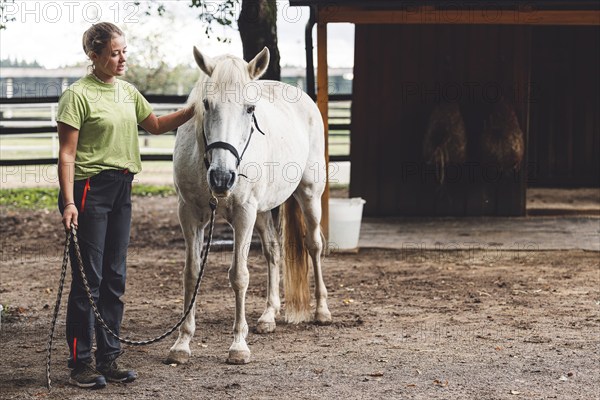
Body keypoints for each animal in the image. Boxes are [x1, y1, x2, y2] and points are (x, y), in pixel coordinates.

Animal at [168, 47, 332, 366]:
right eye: (206, 104)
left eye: (249, 109)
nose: (222, 177)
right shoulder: (190, 214)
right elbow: (191, 274)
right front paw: (182, 343)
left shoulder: (244, 213)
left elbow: (239, 276)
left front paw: (238, 345)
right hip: (263, 211)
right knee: (272, 251)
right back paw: (269, 315)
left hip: (309, 195)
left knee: (314, 246)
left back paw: (321, 310)